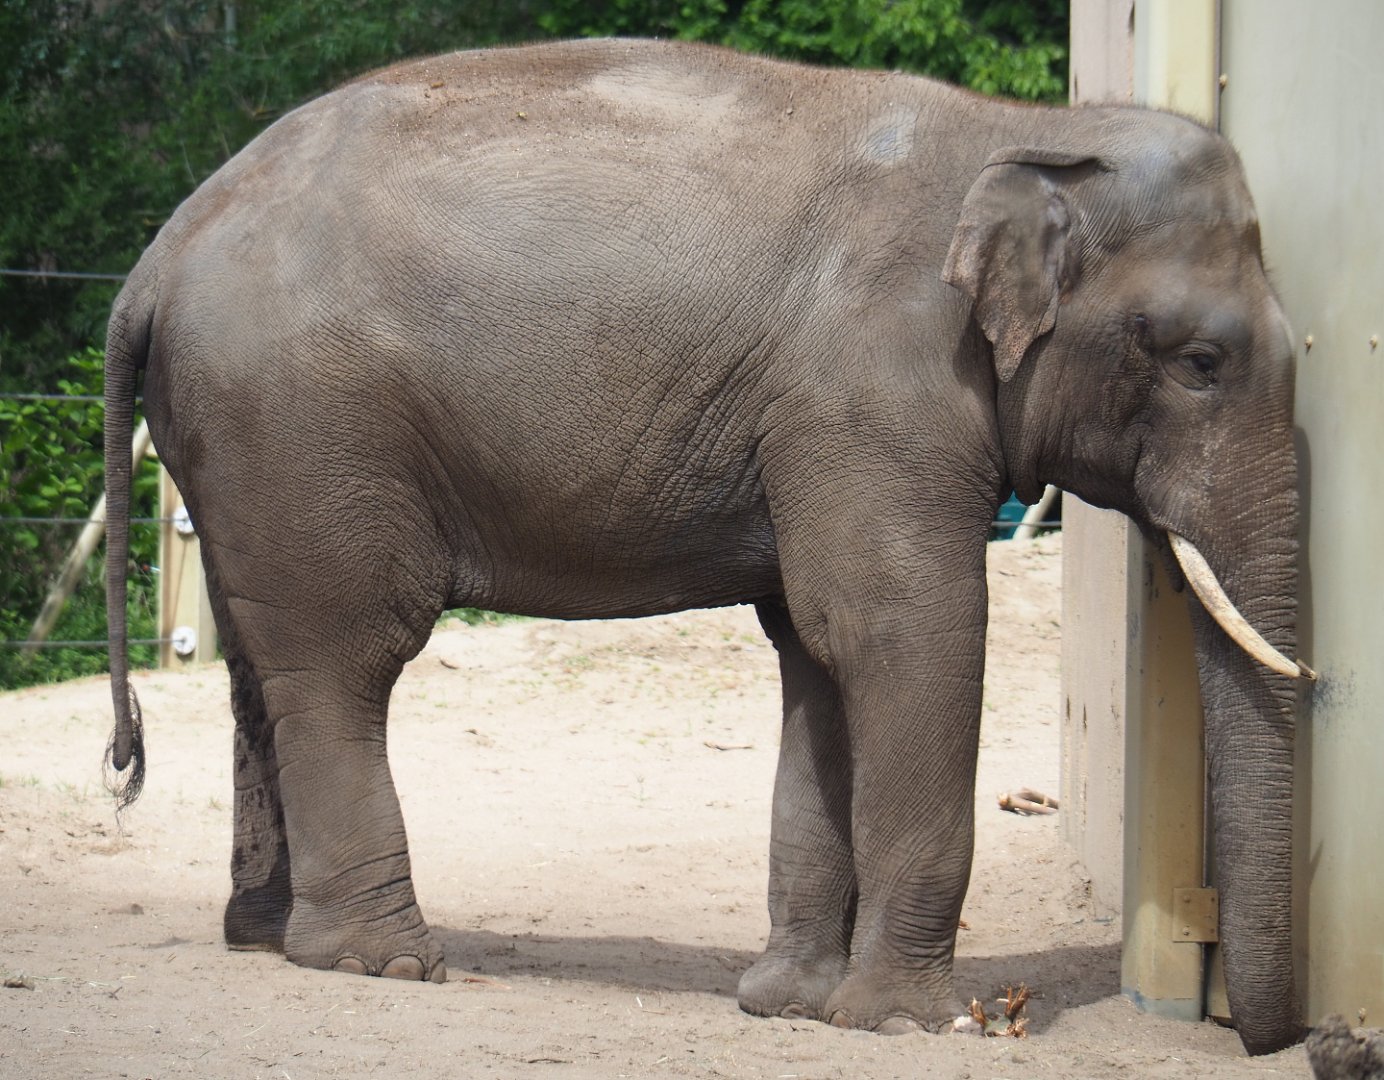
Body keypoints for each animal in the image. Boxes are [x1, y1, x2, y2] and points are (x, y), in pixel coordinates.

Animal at [102, 38, 1313, 1055]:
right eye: (1201, 362)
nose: (1264, 1043)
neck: (1028, 133)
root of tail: (156, 253)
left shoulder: (821, 428)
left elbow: (816, 649)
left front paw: (788, 1003)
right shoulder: (874, 394)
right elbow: (899, 629)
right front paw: (904, 1024)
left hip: (236, 441)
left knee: (257, 662)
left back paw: (264, 935)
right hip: (301, 424)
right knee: (343, 658)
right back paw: (382, 960)